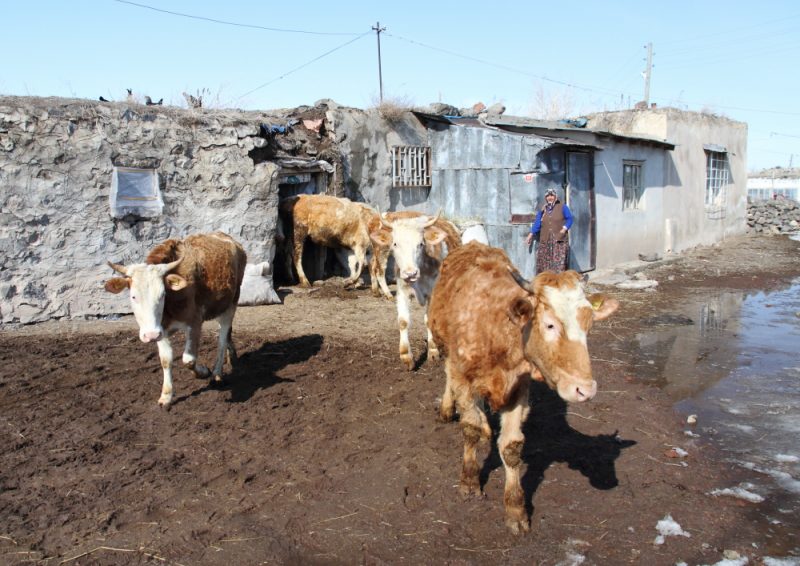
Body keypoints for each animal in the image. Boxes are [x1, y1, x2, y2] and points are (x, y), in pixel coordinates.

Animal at [103, 232, 247, 408]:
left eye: (162, 294)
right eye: (133, 296)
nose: (150, 335)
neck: (170, 307)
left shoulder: (194, 322)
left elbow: (188, 360)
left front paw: (203, 372)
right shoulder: (161, 330)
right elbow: (166, 360)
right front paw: (166, 395)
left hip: (231, 303)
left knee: (222, 336)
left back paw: (217, 373)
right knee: (227, 335)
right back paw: (231, 356)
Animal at [370, 211, 462, 370]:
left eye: (421, 244)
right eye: (395, 243)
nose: (410, 273)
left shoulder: (432, 294)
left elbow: (428, 320)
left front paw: (433, 352)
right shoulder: (402, 292)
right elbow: (403, 321)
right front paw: (406, 356)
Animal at [428, 242, 620, 536]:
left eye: (588, 324)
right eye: (549, 324)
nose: (585, 389)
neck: (497, 328)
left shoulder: (519, 389)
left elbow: (511, 446)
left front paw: (515, 509)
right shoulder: (464, 377)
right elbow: (470, 428)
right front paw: (470, 481)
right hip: (446, 349)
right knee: (450, 377)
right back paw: (450, 409)